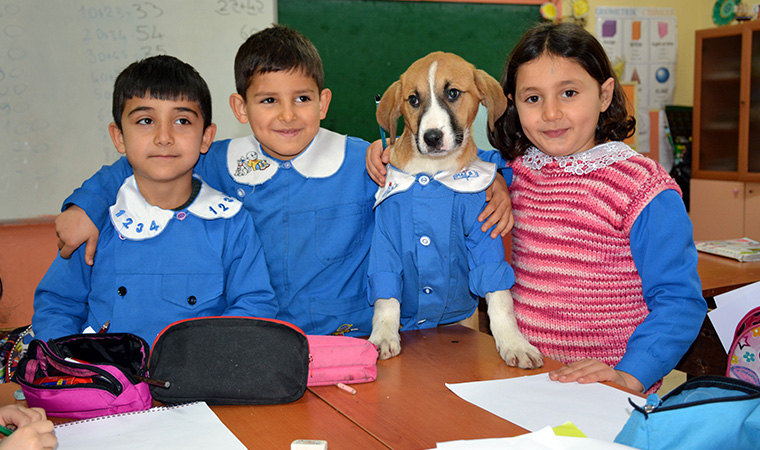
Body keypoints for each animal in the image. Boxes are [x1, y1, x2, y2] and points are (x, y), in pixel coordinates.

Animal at [366, 52, 540, 370]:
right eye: (413, 99)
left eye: (453, 93)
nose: (432, 137)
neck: (432, 174)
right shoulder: (385, 237)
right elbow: (386, 297)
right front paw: (383, 335)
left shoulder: (484, 234)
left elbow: (499, 296)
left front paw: (514, 343)